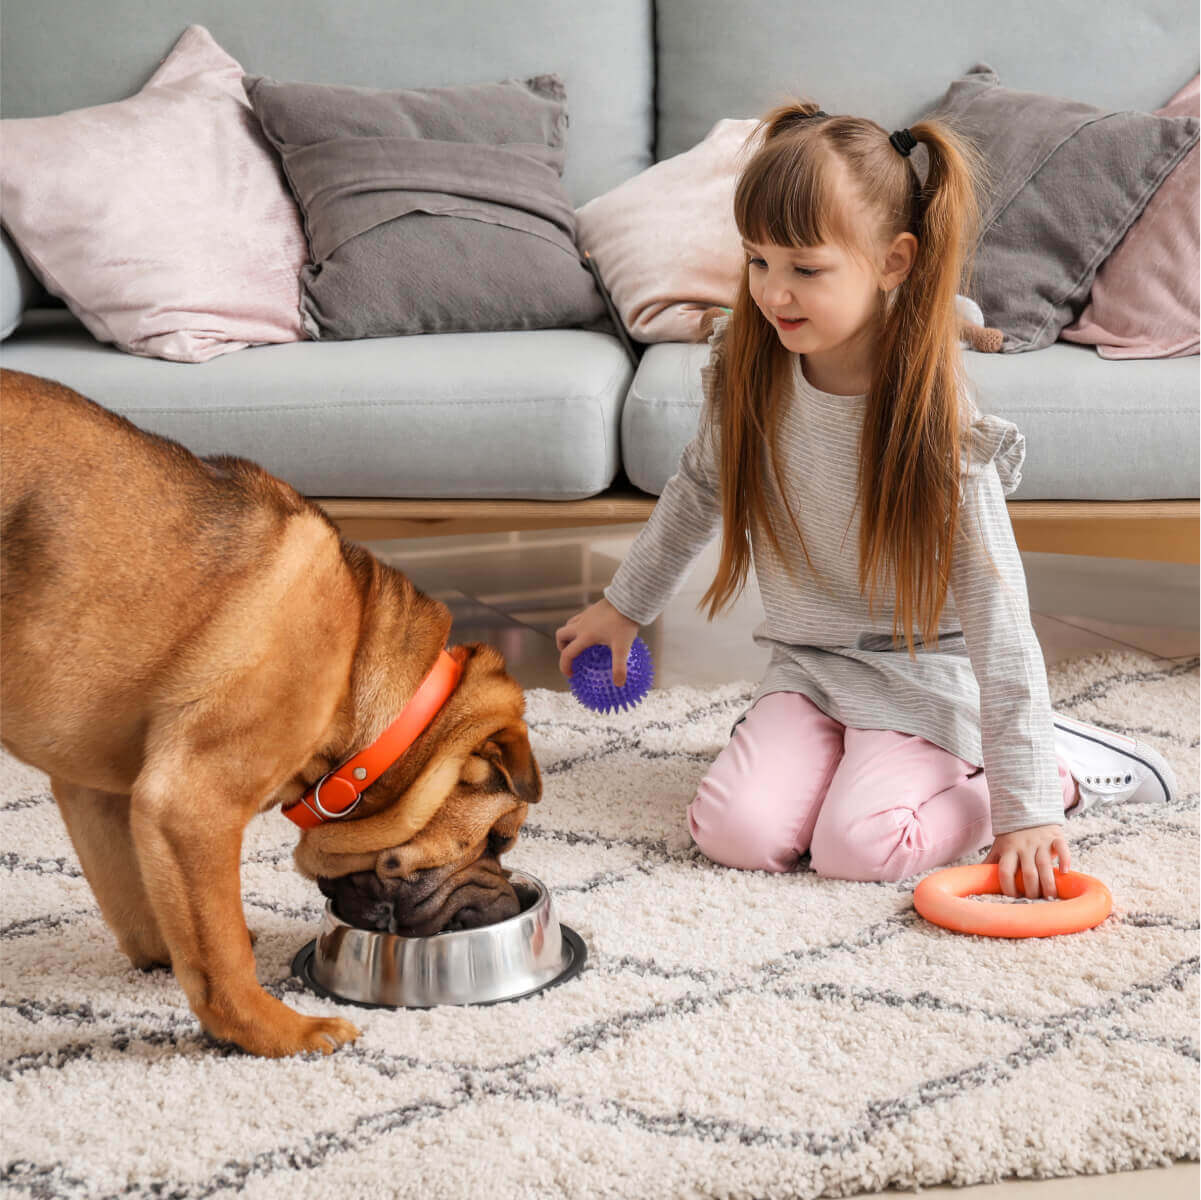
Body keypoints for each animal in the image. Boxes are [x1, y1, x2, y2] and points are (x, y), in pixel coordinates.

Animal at [0, 369, 542, 1057]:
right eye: (500, 838)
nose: (511, 899)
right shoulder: (191, 806)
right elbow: (221, 949)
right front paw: (278, 1030)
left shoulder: (96, 792)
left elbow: (138, 896)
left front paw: (163, 956)